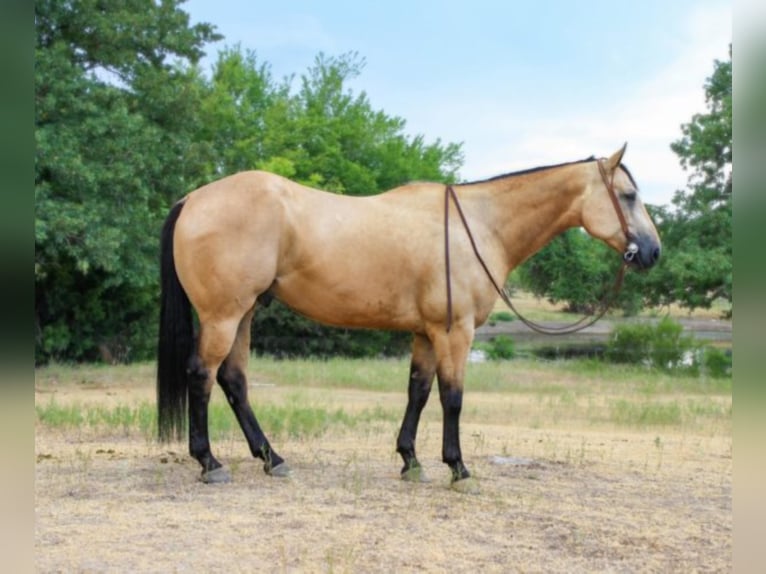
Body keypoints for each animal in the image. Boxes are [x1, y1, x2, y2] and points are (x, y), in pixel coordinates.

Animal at [156, 144, 660, 490]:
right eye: (628, 195)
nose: (653, 252)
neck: (479, 226)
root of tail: (193, 199)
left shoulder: (425, 332)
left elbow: (417, 392)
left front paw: (411, 461)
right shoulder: (456, 332)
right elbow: (452, 398)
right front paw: (458, 468)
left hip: (243, 315)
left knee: (234, 381)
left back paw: (272, 458)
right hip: (224, 316)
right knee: (202, 375)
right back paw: (210, 462)